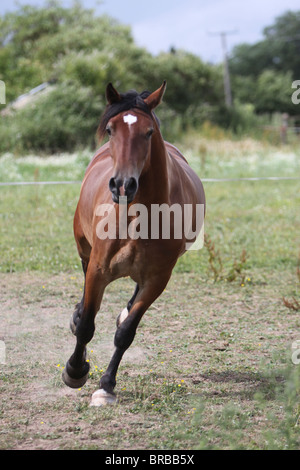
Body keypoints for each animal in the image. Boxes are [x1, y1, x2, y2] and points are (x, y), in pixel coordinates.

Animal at [62, 81, 205, 404]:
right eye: (111, 130)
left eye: (148, 132)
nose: (122, 185)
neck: (140, 215)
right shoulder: (98, 270)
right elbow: (87, 325)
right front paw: (75, 371)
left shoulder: (157, 279)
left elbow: (126, 332)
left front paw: (106, 386)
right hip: (84, 250)